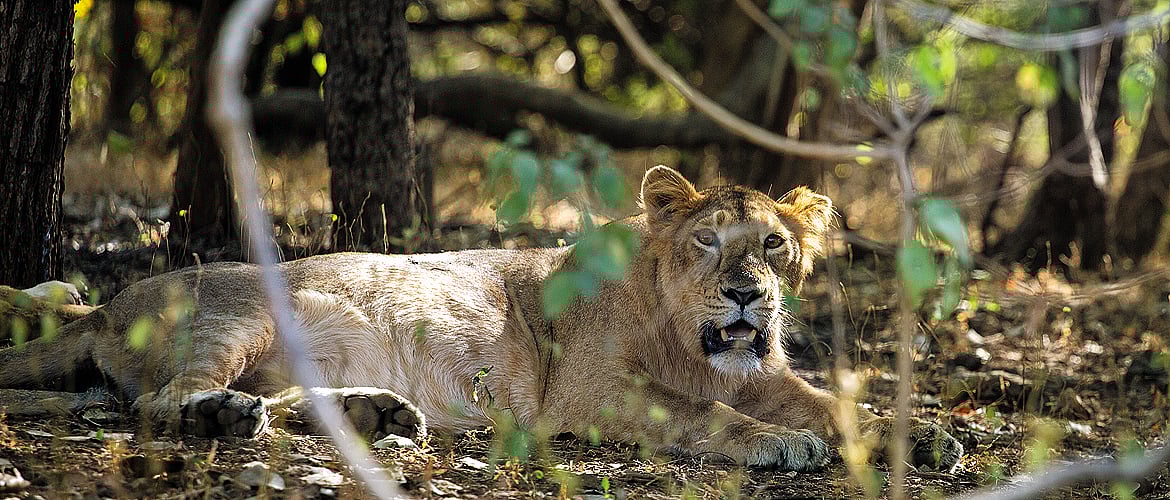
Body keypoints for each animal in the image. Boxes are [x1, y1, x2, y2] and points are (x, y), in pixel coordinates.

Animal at [0, 166, 962, 472]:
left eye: (772, 245)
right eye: (706, 242)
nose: (747, 295)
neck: (689, 341)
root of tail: (107, 304)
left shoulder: (766, 373)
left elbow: (838, 404)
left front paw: (927, 435)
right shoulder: (588, 395)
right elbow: (705, 415)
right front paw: (780, 445)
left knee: (278, 401)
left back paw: (377, 413)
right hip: (240, 315)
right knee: (160, 401)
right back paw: (227, 416)